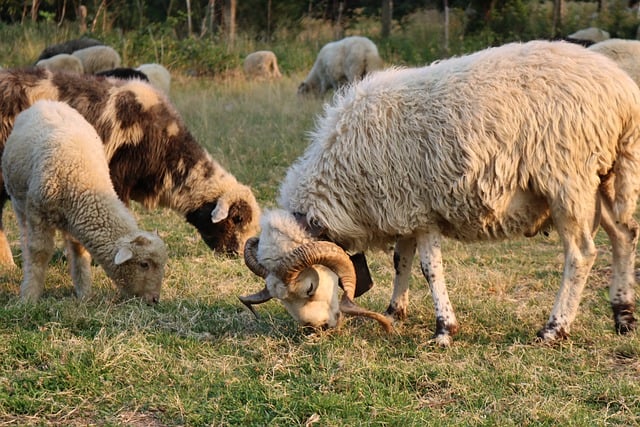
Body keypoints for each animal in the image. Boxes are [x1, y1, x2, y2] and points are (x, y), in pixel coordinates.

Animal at [2, 99, 168, 304]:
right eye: (144, 264)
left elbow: (80, 253)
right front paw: (29, 297)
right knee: (26, 237)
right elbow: (39, 252)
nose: (154, 300)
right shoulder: (37, 212)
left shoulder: (78, 218)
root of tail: (45, 102)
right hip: (20, 202)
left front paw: (84, 293)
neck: (84, 179)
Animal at [239, 40, 640, 348]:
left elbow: (429, 269)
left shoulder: (421, 211)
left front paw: (444, 330)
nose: (316, 331)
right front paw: (394, 313)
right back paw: (623, 316)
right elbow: (400, 261)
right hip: (608, 175)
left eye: (309, 287)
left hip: (568, 181)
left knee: (582, 254)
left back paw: (553, 330)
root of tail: (622, 93)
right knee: (623, 235)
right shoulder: (401, 210)